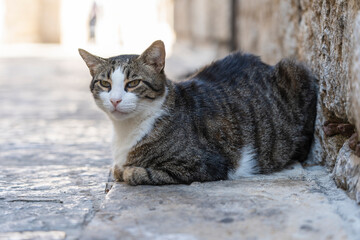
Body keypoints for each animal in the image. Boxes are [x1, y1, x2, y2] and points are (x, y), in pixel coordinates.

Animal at [79, 40, 318, 186]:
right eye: (105, 84)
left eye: (133, 83)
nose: (115, 100)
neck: (125, 131)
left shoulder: (206, 164)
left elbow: (135, 172)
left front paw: (128, 170)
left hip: (295, 71)